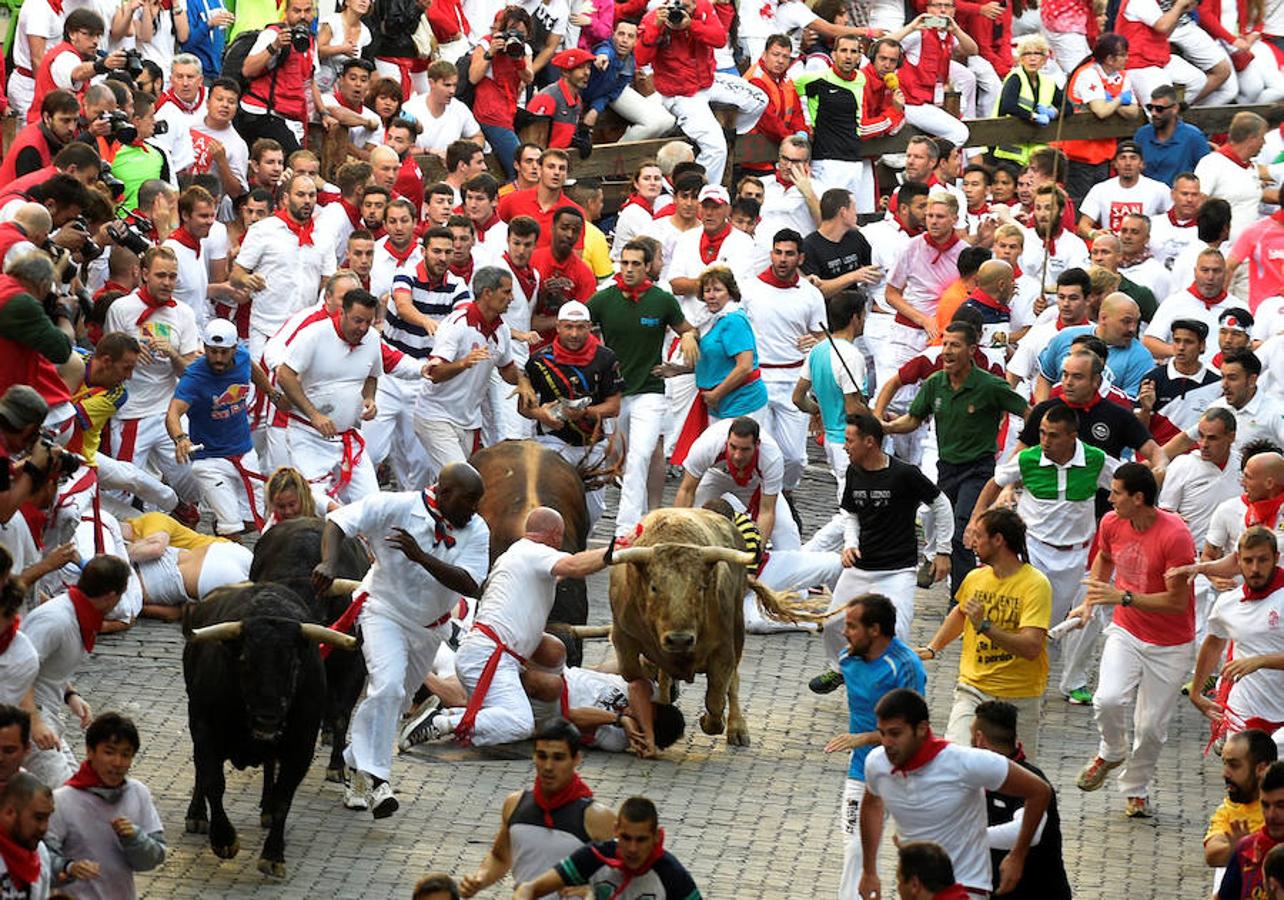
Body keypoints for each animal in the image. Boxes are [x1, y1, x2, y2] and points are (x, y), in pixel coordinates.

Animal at [181, 580, 356, 873]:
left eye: (294, 665)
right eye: (244, 661)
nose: (268, 719)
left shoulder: (301, 747)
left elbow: (284, 798)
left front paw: (273, 854)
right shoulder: (204, 730)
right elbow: (212, 781)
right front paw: (223, 839)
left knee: (270, 766)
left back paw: (266, 808)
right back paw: (196, 815)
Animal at [606, 508, 816, 749]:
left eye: (700, 587)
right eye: (654, 587)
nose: (679, 639)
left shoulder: (723, 651)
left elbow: (716, 701)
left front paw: (710, 721)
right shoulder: (623, 640)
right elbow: (636, 675)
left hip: (737, 628)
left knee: (733, 683)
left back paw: (737, 729)